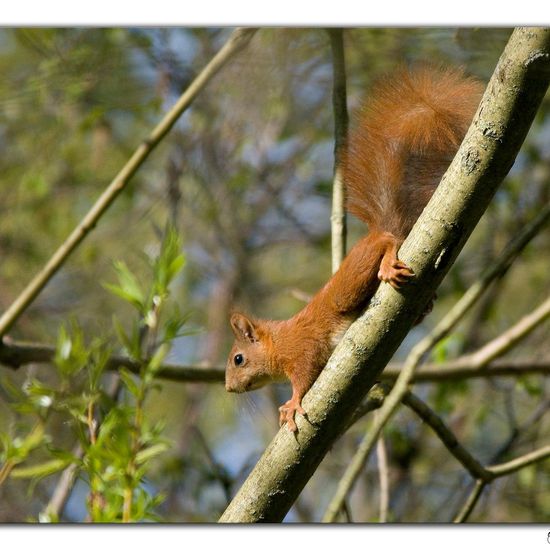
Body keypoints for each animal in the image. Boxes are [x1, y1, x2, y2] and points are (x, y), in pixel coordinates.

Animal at [224, 67, 484, 434]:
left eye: (238, 359)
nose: (228, 388)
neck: (279, 339)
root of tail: (378, 229)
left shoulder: (302, 349)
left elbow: (302, 377)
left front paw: (291, 404)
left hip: (352, 282)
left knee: (388, 244)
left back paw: (388, 262)